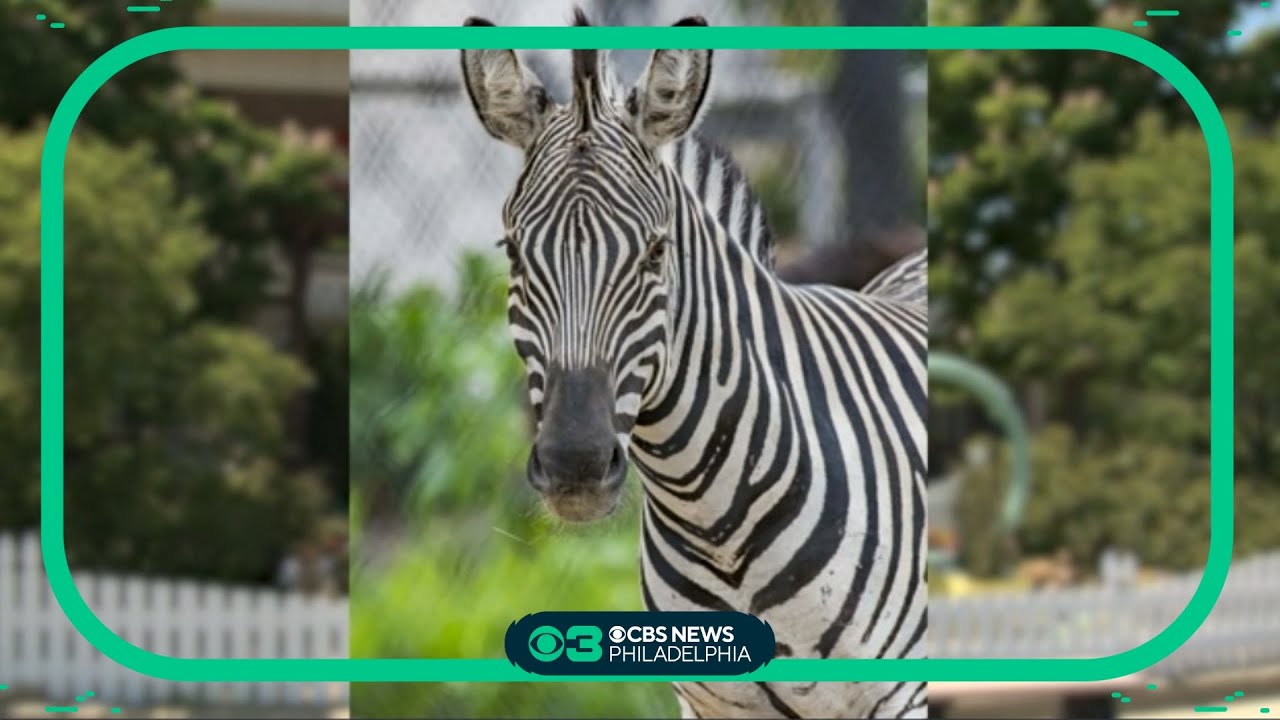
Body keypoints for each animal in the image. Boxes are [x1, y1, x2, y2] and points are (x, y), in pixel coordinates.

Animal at [460, 10, 927, 719]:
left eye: (656, 252)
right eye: (512, 251)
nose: (575, 465)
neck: (715, 520)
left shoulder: (899, 696)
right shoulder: (710, 702)